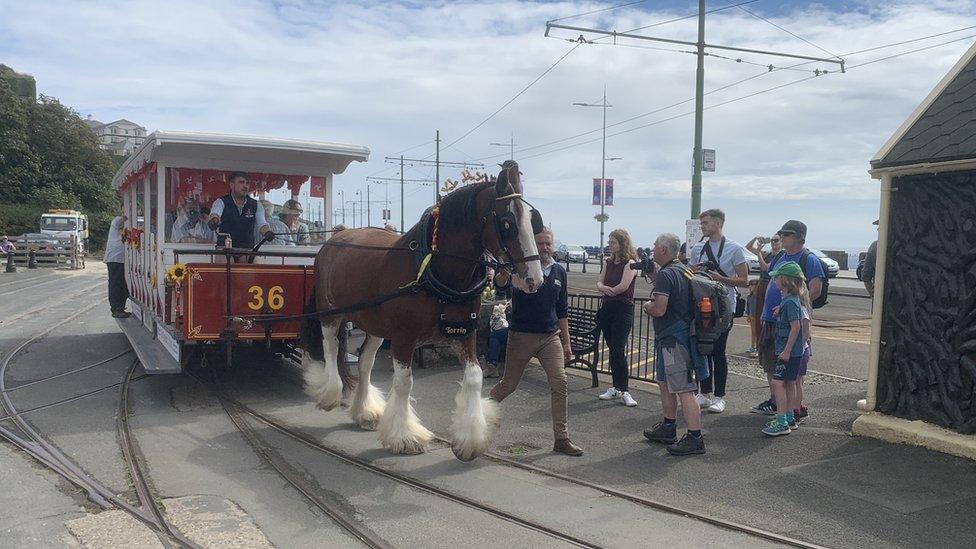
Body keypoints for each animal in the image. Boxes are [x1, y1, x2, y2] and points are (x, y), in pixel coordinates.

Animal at [302, 162, 544, 458]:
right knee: (331, 346)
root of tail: (337, 236)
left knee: (365, 361)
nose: (534, 279)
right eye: (507, 222)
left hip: (375, 324)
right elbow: (404, 382)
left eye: (533, 220)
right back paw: (329, 393)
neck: (433, 269)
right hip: (330, 313)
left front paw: (470, 439)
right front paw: (404, 436)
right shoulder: (404, 338)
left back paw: (365, 410)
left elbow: (474, 377)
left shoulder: (465, 333)